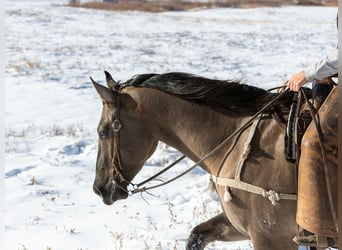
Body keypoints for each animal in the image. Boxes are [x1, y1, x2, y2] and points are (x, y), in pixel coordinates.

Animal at [91, 71, 302, 250]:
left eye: (103, 132)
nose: (98, 189)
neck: (236, 142)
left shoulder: (270, 238)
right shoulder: (237, 225)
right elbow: (196, 235)